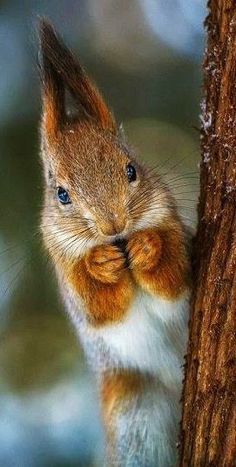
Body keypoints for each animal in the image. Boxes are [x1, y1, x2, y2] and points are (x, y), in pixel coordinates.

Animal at [37, 19, 191, 467]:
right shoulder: (67, 274)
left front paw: (148, 249)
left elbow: (175, 277)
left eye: (132, 169)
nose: (114, 226)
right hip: (136, 418)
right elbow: (99, 308)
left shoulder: (175, 227)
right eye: (62, 194)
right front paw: (100, 265)